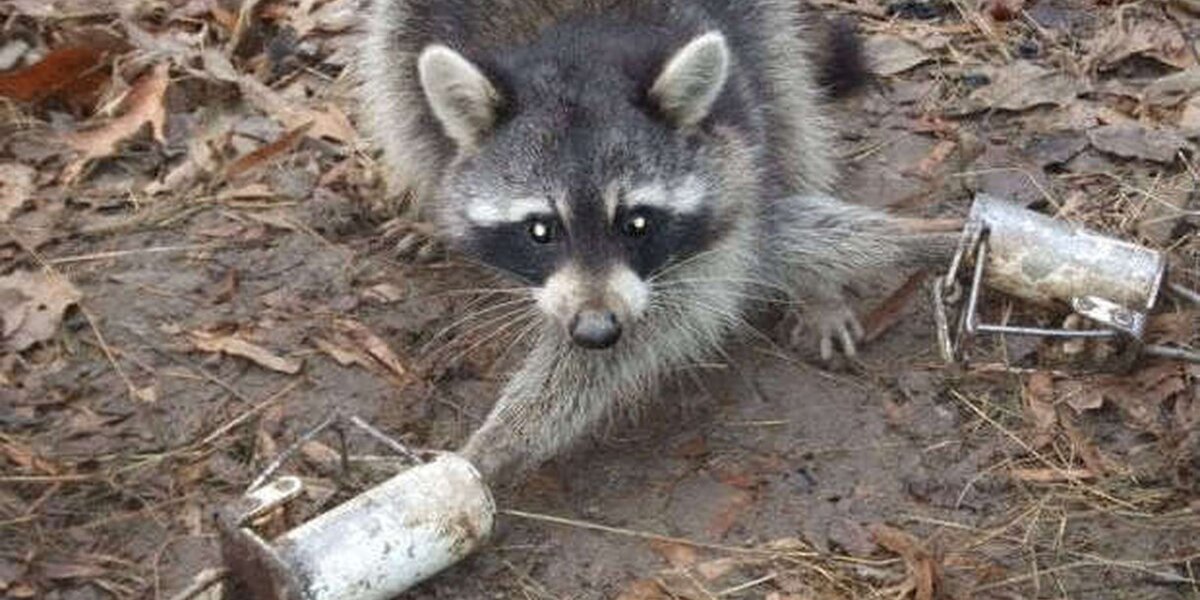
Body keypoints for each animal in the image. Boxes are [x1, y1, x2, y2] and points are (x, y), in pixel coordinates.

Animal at [360, 0, 950, 480]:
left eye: (637, 223)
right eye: (540, 230)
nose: (596, 330)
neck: (578, 49)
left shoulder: (731, 151)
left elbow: (701, 291)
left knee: (791, 103)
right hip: (402, 25)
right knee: (399, 93)